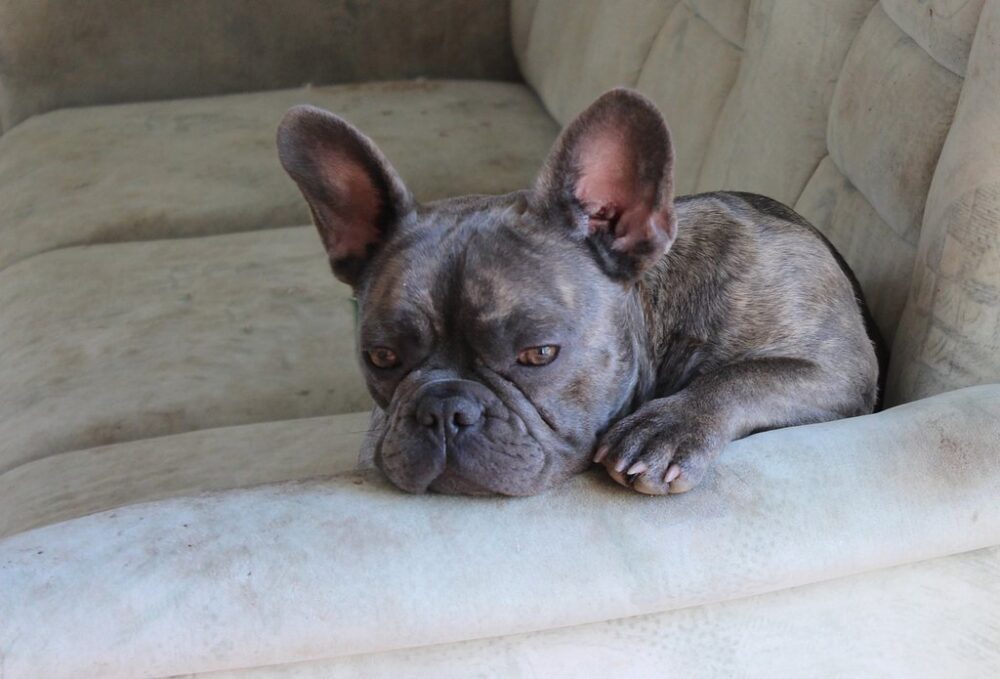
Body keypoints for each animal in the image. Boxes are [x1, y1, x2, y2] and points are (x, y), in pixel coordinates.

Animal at [276, 87, 884, 496]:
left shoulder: (839, 371)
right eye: (379, 358)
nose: (443, 409)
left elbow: (744, 376)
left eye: (539, 354)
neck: (661, 320)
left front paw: (667, 428)